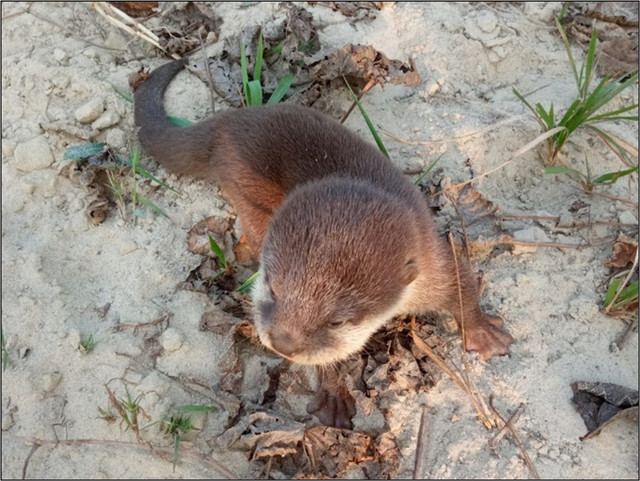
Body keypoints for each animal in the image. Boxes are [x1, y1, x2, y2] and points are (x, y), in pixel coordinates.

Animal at [134, 58, 514, 428]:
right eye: (273, 290)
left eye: (337, 322)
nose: (283, 343)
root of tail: (232, 120)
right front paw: (333, 394)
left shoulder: (431, 258)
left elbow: (462, 282)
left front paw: (484, 332)